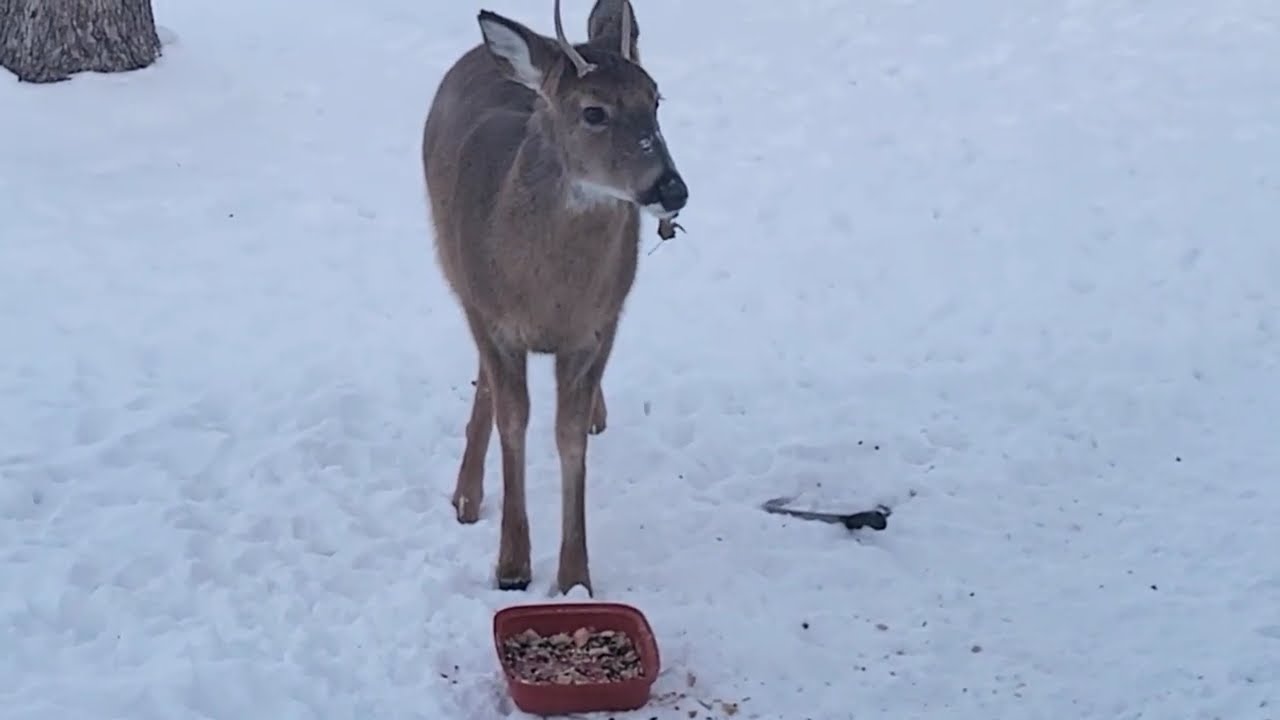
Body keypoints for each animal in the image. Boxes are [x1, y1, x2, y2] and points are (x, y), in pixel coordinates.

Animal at [420, 0, 688, 597]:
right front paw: (512, 566)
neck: (547, 297)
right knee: (487, 384)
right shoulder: (491, 317)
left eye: (656, 99)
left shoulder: (596, 327)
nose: (672, 189)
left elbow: (568, 437)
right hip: (455, 272)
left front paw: (574, 579)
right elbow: (514, 420)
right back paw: (466, 495)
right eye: (593, 111)